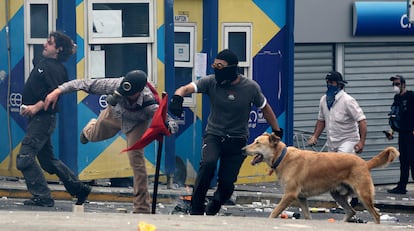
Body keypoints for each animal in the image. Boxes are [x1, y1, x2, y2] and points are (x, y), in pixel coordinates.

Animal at [241, 134, 400, 224]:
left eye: (257, 143)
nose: (243, 149)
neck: (282, 156)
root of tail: (364, 163)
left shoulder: (290, 195)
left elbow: (273, 213)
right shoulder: (301, 197)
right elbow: (307, 216)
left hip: (363, 195)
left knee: (376, 215)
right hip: (337, 195)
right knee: (351, 212)